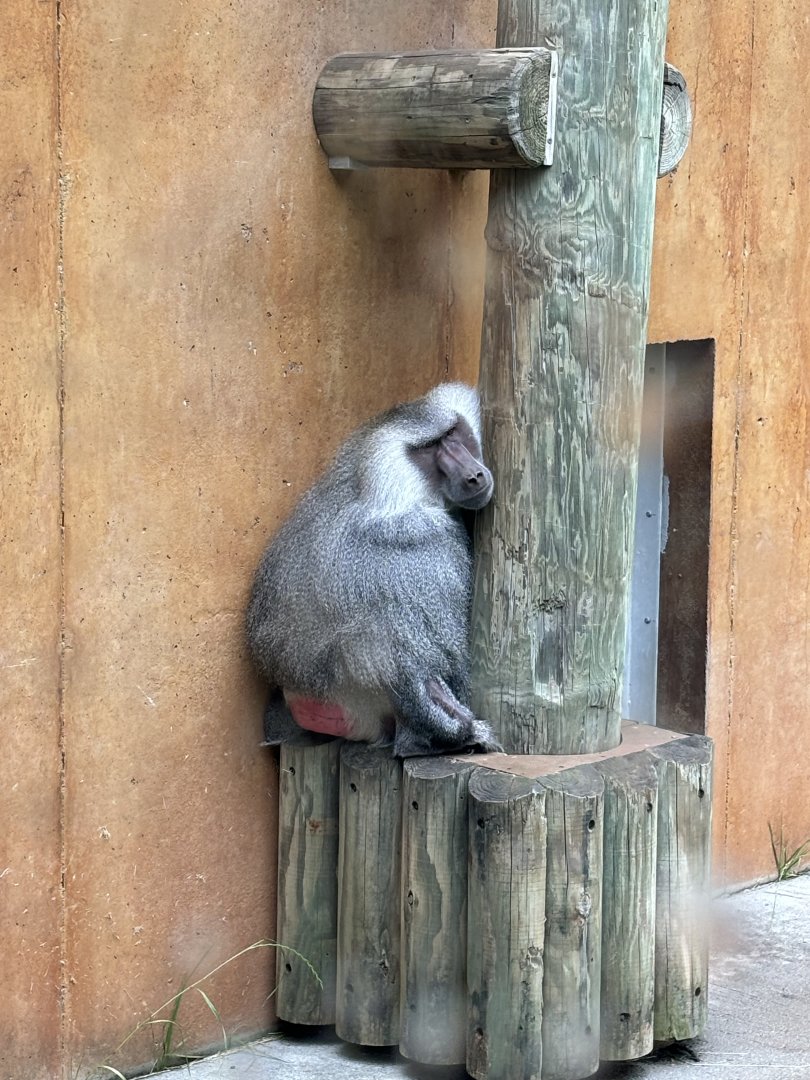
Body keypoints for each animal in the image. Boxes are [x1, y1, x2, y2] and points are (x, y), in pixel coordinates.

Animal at [245, 382, 503, 758]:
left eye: (454, 433)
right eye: (428, 450)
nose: (474, 476)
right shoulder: (423, 552)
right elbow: (408, 655)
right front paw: (458, 731)